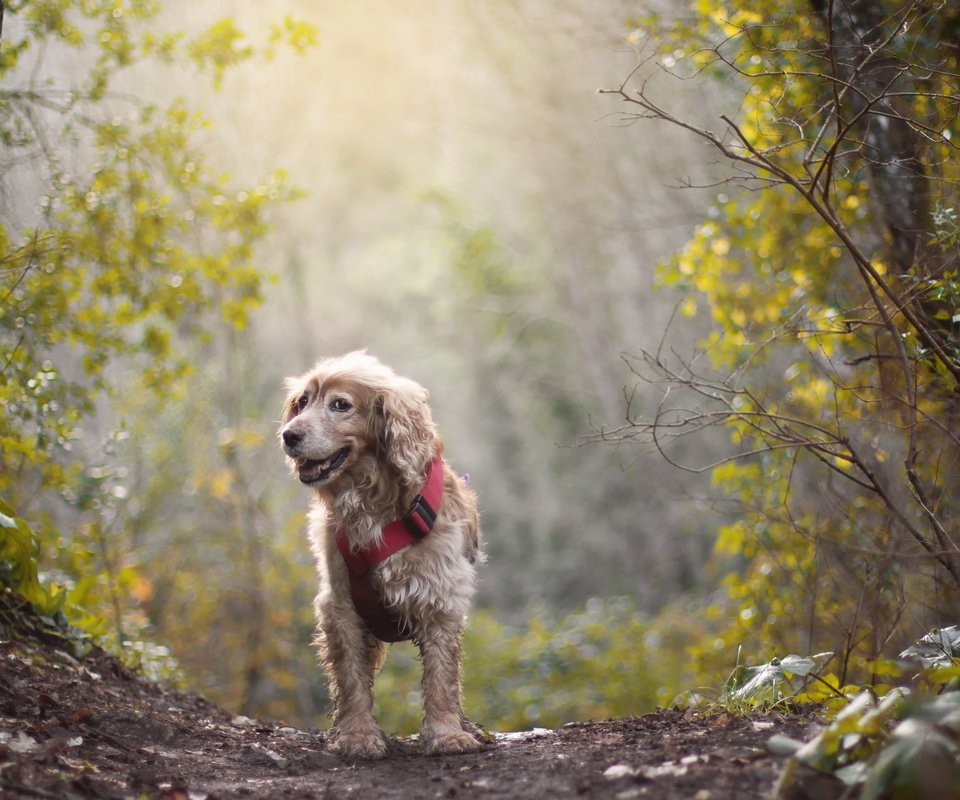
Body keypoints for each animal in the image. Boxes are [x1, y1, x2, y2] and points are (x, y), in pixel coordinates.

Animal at [282, 350, 484, 756]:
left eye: (340, 405)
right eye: (303, 402)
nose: (288, 434)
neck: (371, 501)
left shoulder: (440, 598)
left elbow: (441, 677)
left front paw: (446, 733)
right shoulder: (341, 604)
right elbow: (351, 680)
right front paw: (357, 736)